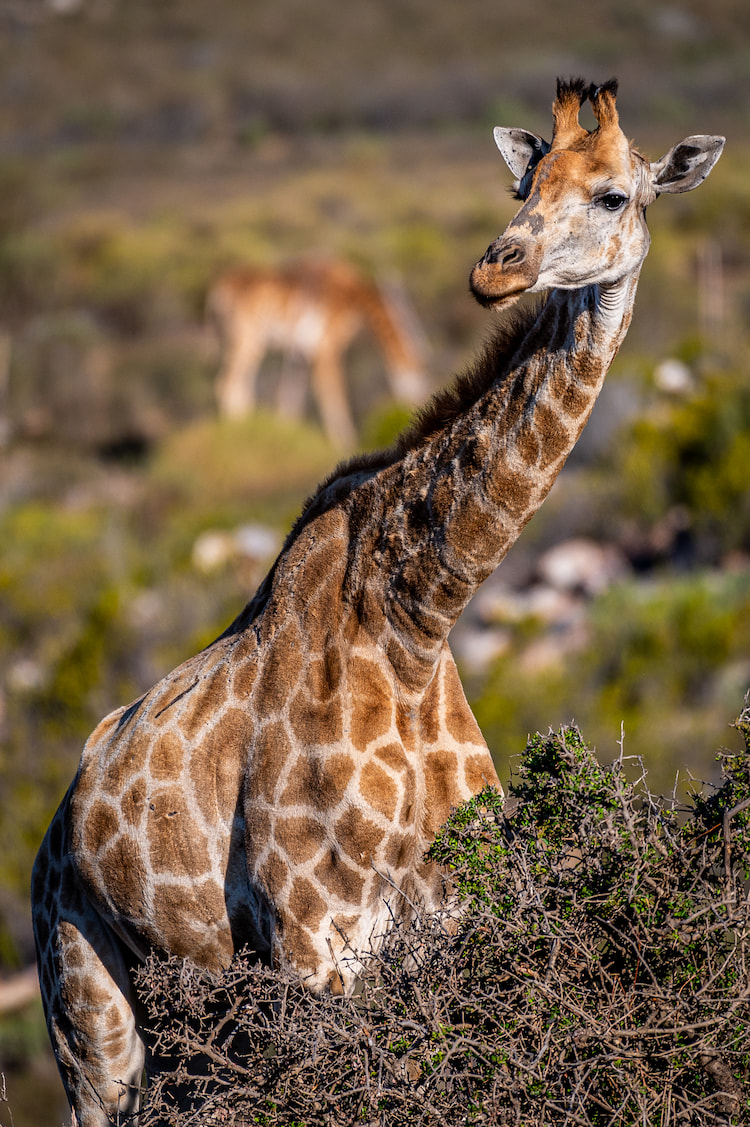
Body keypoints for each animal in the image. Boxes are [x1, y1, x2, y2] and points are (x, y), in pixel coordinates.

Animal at [209, 258, 428, 447]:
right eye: (416, 381)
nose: (415, 408)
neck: (354, 297)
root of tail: (218, 289)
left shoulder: (300, 354)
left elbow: (289, 398)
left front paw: (286, 434)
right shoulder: (327, 348)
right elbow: (333, 395)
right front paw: (345, 444)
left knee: (241, 384)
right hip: (247, 337)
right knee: (226, 383)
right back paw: (237, 433)